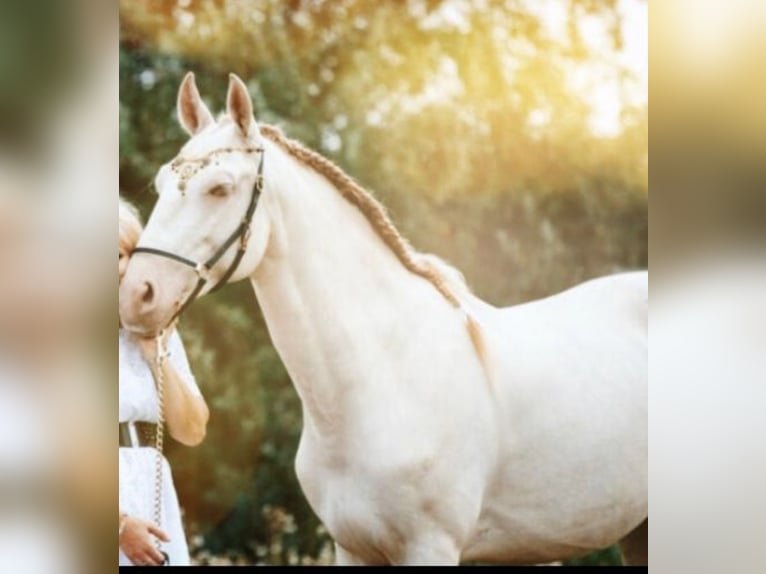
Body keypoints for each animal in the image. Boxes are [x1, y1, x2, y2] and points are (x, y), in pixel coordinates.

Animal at [120, 72, 648, 568]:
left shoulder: (431, 547)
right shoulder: (351, 548)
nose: (136, 296)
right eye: (162, 184)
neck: (381, 377)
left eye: (219, 188)